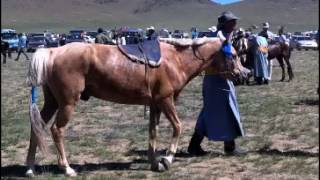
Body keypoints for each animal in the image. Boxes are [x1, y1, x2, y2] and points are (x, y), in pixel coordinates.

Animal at [25, 36, 245, 176]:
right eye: (234, 55)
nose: (245, 73)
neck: (175, 60)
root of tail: (53, 51)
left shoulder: (155, 104)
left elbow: (153, 132)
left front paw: (155, 163)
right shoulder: (166, 100)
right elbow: (178, 127)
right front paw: (167, 159)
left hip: (52, 102)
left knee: (36, 128)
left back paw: (30, 168)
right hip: (67, 103)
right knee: (56, 130)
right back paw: (67, 168)